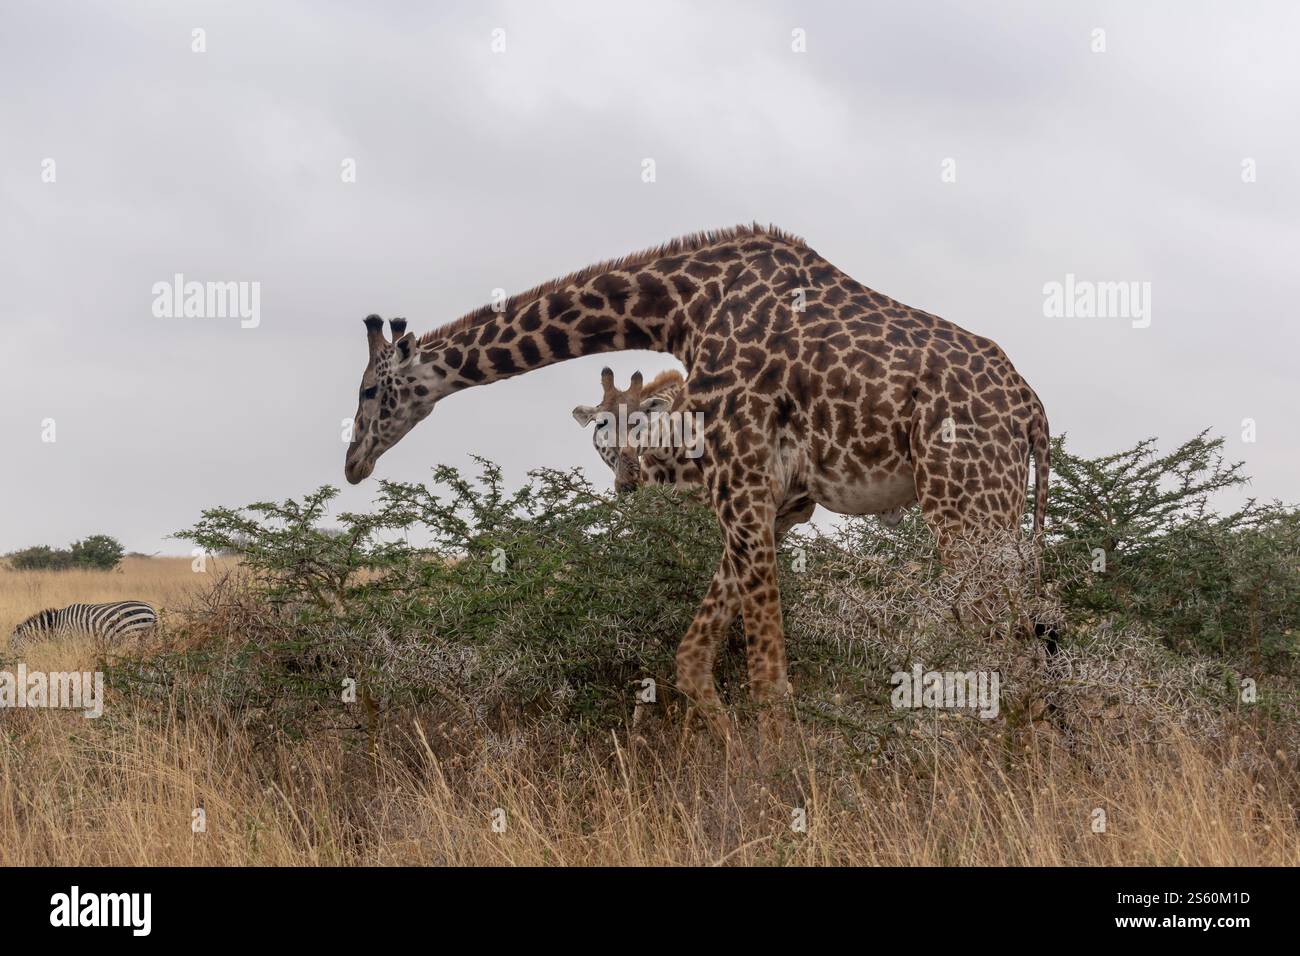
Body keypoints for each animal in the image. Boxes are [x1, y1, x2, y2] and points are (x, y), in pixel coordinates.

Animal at [344, 225, 1050, 724]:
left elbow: (766, 677)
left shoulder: (741, 478)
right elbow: (691, 659)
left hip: (965, 504)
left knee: (1006, 649)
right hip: (994, 510)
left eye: (372, 390)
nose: (353, 463)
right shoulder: (773, 502)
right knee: (1026, 644)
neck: (681, 308)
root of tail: (1031, 409)